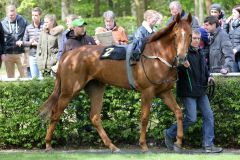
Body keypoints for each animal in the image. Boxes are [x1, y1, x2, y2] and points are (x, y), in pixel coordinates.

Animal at [40, 13, 192, 151]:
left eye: (190, 35)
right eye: (176, 35)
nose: (182, 57)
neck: (156, 56)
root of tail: (68, 55)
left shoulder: (164, 92)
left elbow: (178, 112)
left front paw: (178, 142)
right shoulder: (147, 91)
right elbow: (144, 117)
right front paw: (143, 145)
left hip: (96, 87)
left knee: (94, 116)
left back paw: (112, 146)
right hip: (69, 90)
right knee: (55, 113)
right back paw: (48, 144)